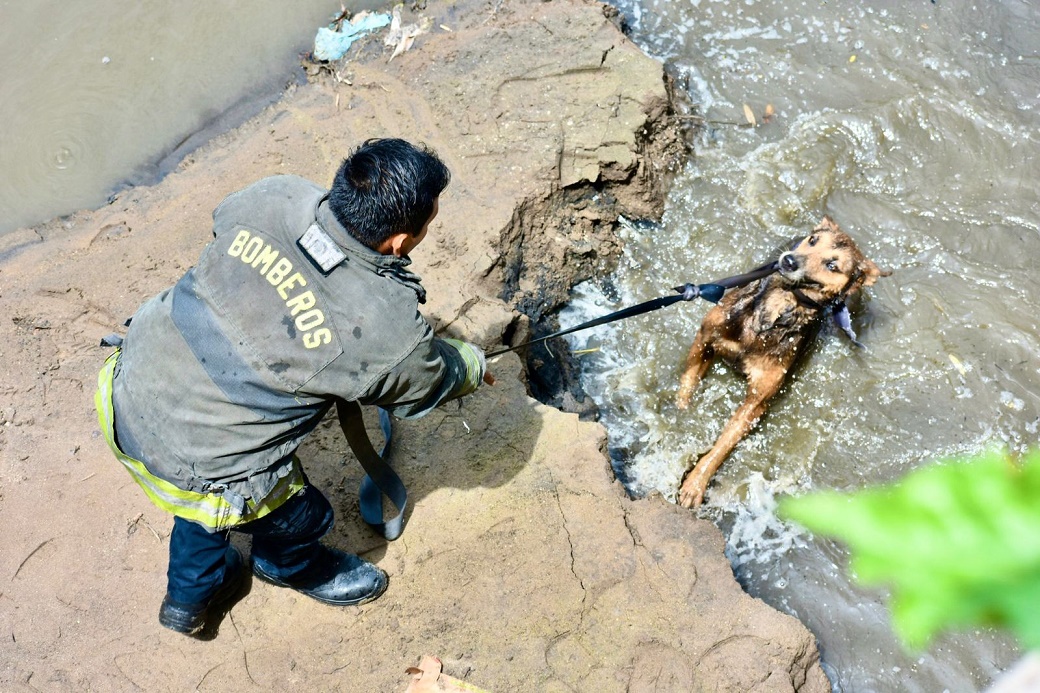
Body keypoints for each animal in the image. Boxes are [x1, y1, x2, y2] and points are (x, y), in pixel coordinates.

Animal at [678, 217, 890, 507]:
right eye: (813, 241)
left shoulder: (757, 401)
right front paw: (680, 410)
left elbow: (723, 445)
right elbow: (688, 380)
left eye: (832, 265)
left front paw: (696, 482)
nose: (789, 261)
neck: (773, 313)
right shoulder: (704, 338)